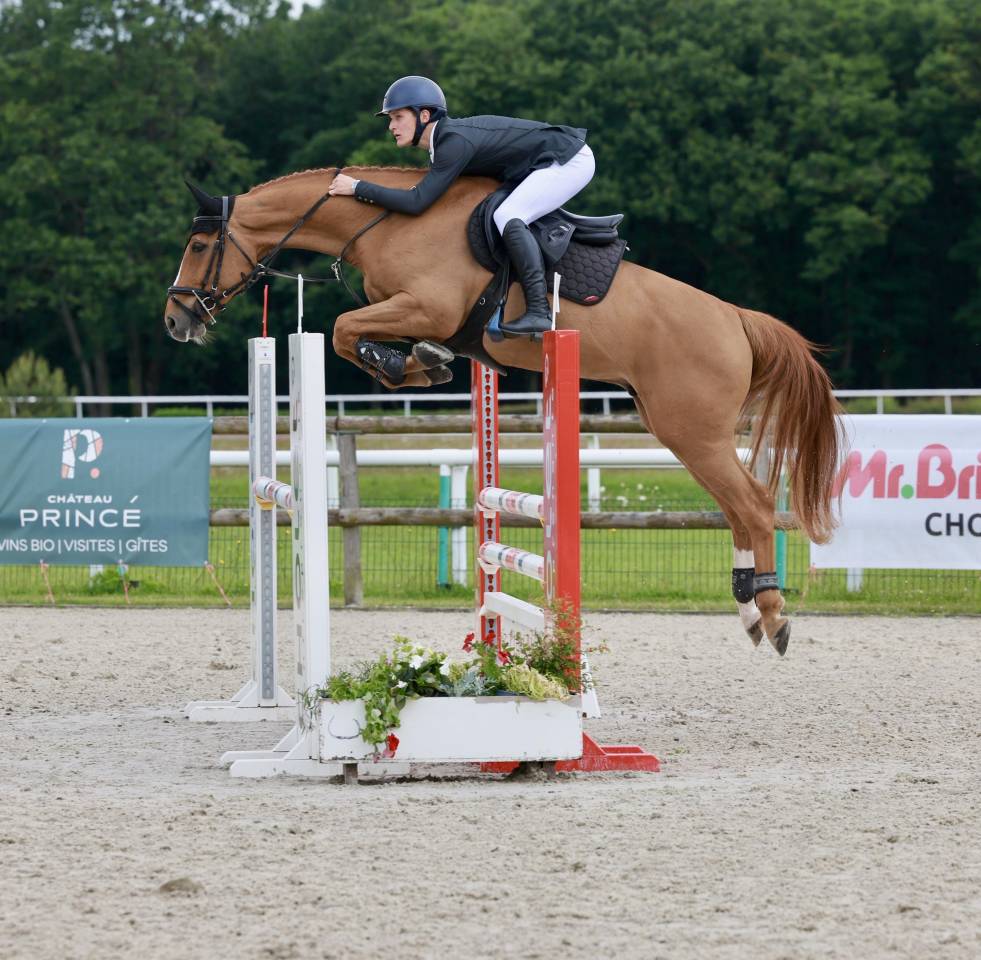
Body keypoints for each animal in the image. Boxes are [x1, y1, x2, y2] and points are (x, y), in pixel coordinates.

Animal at [164, 166, 844, 655]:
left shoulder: (426, 305)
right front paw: (422, 365)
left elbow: (341, 329)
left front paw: (408, 365)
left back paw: (773, 614)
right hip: (679, 430)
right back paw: (748, 610)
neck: (388, 223)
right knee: (738, 509)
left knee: (753, 505)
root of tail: (736, 318)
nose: (176, 321)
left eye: (198, 244)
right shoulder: (412, 312)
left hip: (693, 431)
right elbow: (358, 334)